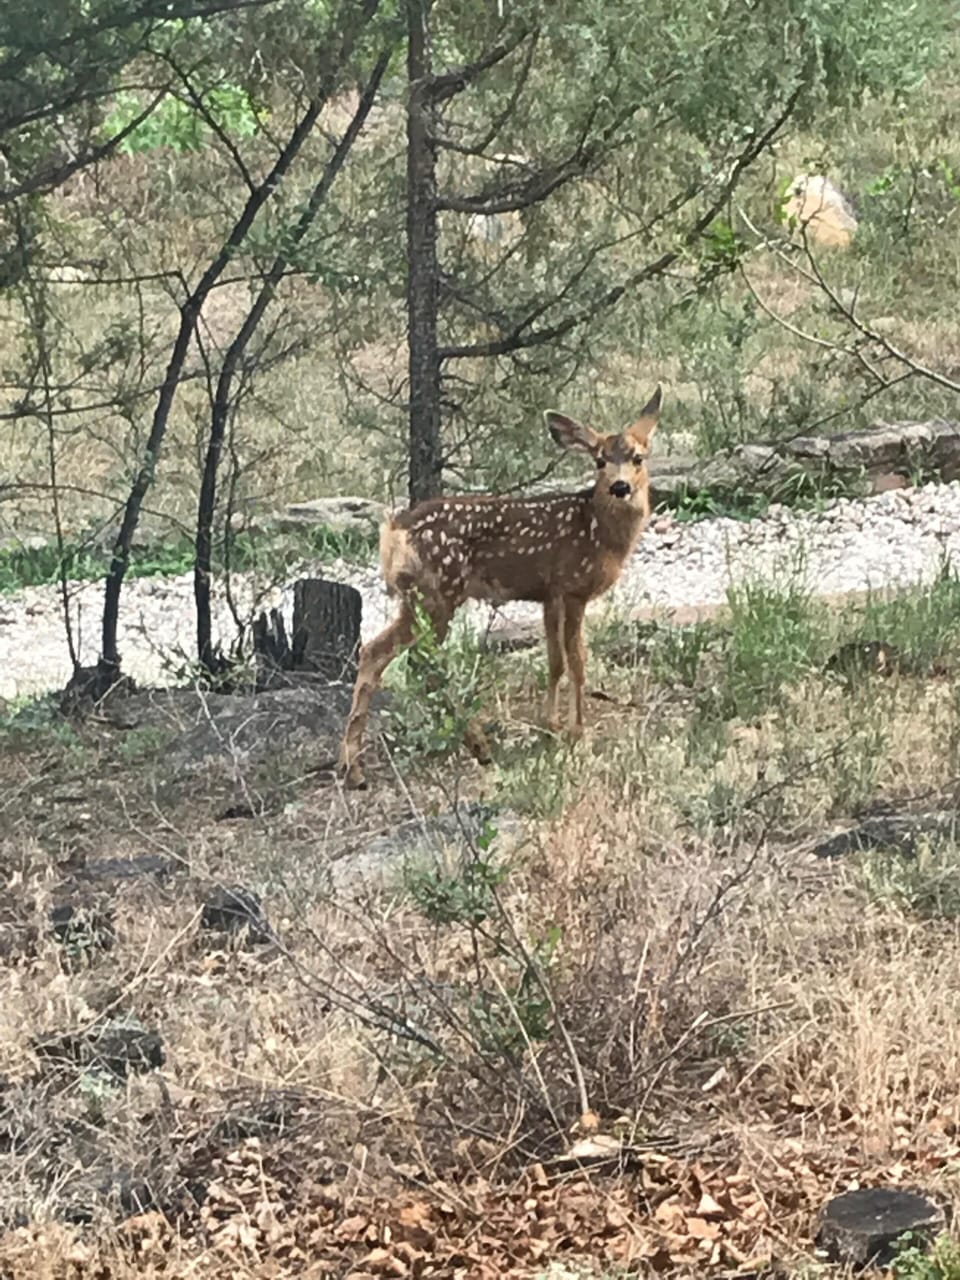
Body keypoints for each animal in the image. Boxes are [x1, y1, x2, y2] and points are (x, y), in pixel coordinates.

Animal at [337, 386, 663, 789]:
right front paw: (577, 731)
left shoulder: (549, 594)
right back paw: (467, 747)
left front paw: (550, 726)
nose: (620, 487)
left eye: (637, 457)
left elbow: (554, 660)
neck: (598, 531)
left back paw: (355, 767)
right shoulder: (573, 586)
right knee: (411, 660)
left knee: (380, 654)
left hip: (421, 597)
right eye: (600, 461)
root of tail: (392, 531)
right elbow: (577, 660)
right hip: (438, 592)